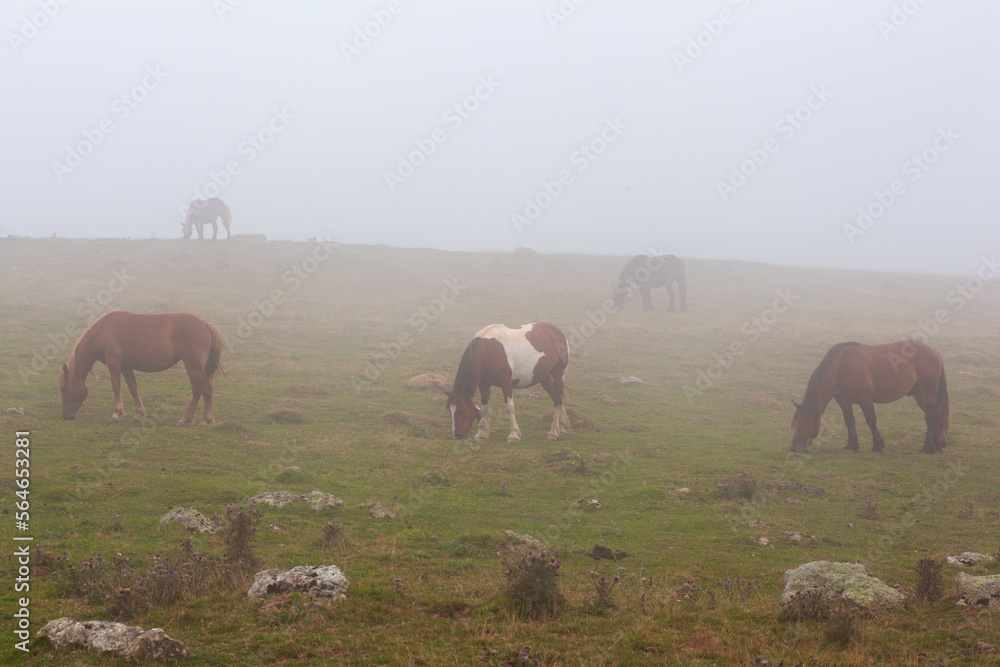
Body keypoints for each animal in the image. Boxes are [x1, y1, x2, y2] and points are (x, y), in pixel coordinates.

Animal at [58, 311, 225, 425]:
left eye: (64, 389)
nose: (65, 415)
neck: (103, 330)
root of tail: (205, 324)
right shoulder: (126, 366)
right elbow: (133, 388)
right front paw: (139, 415)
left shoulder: (114, 362)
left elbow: (116, 386)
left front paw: (117, 414)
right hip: (192, 367)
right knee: (197, 390)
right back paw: (185, 419)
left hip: (194, 366)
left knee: (206, 388)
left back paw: (206, 419)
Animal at [790, 340, 949, 454]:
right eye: (794, 425)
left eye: (805, 425)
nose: (794, 449)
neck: (841, 367)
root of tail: (933, 351)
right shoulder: (844, 401)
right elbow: (849, 421)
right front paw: (851, 445)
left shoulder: (865, 399)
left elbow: (871, 420)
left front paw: (878, 446)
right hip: (918, 395)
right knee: (935, 416)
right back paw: (937, 445)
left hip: (927, 392)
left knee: (930, 417)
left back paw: (928, 448)